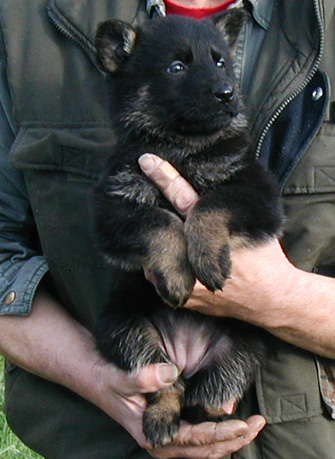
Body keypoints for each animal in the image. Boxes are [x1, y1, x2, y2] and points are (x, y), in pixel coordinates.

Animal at [90, 11, 282, 450]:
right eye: (176, 68)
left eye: (220, 61)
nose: (227, 93)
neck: (183, 146)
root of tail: (186, 355)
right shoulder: (113, 208)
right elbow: (157, 221)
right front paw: (177, 274)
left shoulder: (257, 195)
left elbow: (211, 205)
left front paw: (206, 257)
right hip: (122, 327)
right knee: (168, 384)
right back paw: (161, 418)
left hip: (246, 341)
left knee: (206, 392)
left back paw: (209, 411)